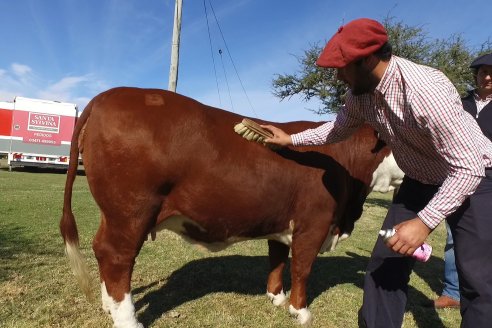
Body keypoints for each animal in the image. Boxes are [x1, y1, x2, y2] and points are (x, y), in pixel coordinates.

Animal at [59, 86, 394, 326]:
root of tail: (107, 95)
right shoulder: (314, 224)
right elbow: (302, 267)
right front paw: (300, 311)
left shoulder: (281, 221)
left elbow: (277, 258)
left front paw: (276, 297)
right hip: (132, 211)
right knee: (117, 256)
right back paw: (128, 320)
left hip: (113, 212)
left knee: (101, 248)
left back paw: (108, 306)